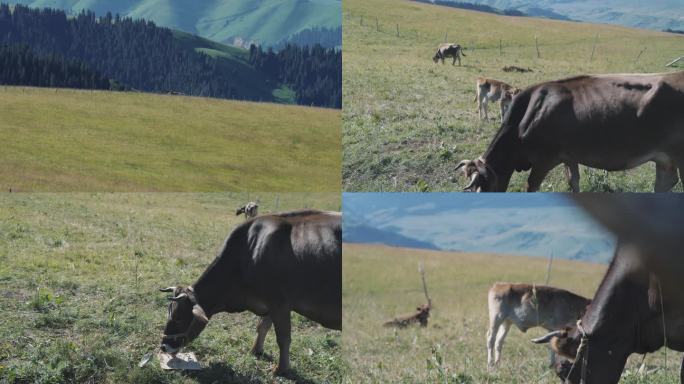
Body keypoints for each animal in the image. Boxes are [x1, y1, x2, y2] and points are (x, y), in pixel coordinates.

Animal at [160, 210, 342, 376]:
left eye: (179, 317)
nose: (163, 346)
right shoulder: (269, 303)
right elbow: (262, 326)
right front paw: (256, 350)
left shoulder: (280, 303)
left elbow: (283, 338)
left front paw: (280, 369)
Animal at [454, 72, 684, 192]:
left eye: (480, 185)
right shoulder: (568, 156)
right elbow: (573, 181)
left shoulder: (545, 159)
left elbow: (531, 185)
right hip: (665, 160)